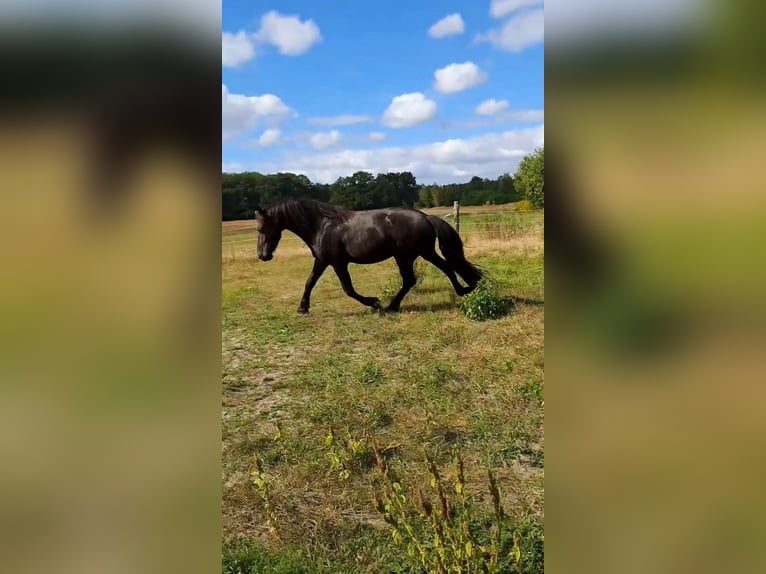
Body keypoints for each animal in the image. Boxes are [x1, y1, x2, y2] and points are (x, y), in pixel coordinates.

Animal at [254, 198, 483, 314]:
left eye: (261, 228)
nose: (262, 256)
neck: (321, 226)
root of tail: (426, 217)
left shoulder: (337, 263)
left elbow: (348, 289)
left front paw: (374, 302)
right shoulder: (322, 261)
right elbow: (309, 282)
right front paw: (302, 308)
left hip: (405, 256)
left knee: (411, 279)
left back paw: (391, 307)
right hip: (424, 252)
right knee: (446, 268)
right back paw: (465, 289)